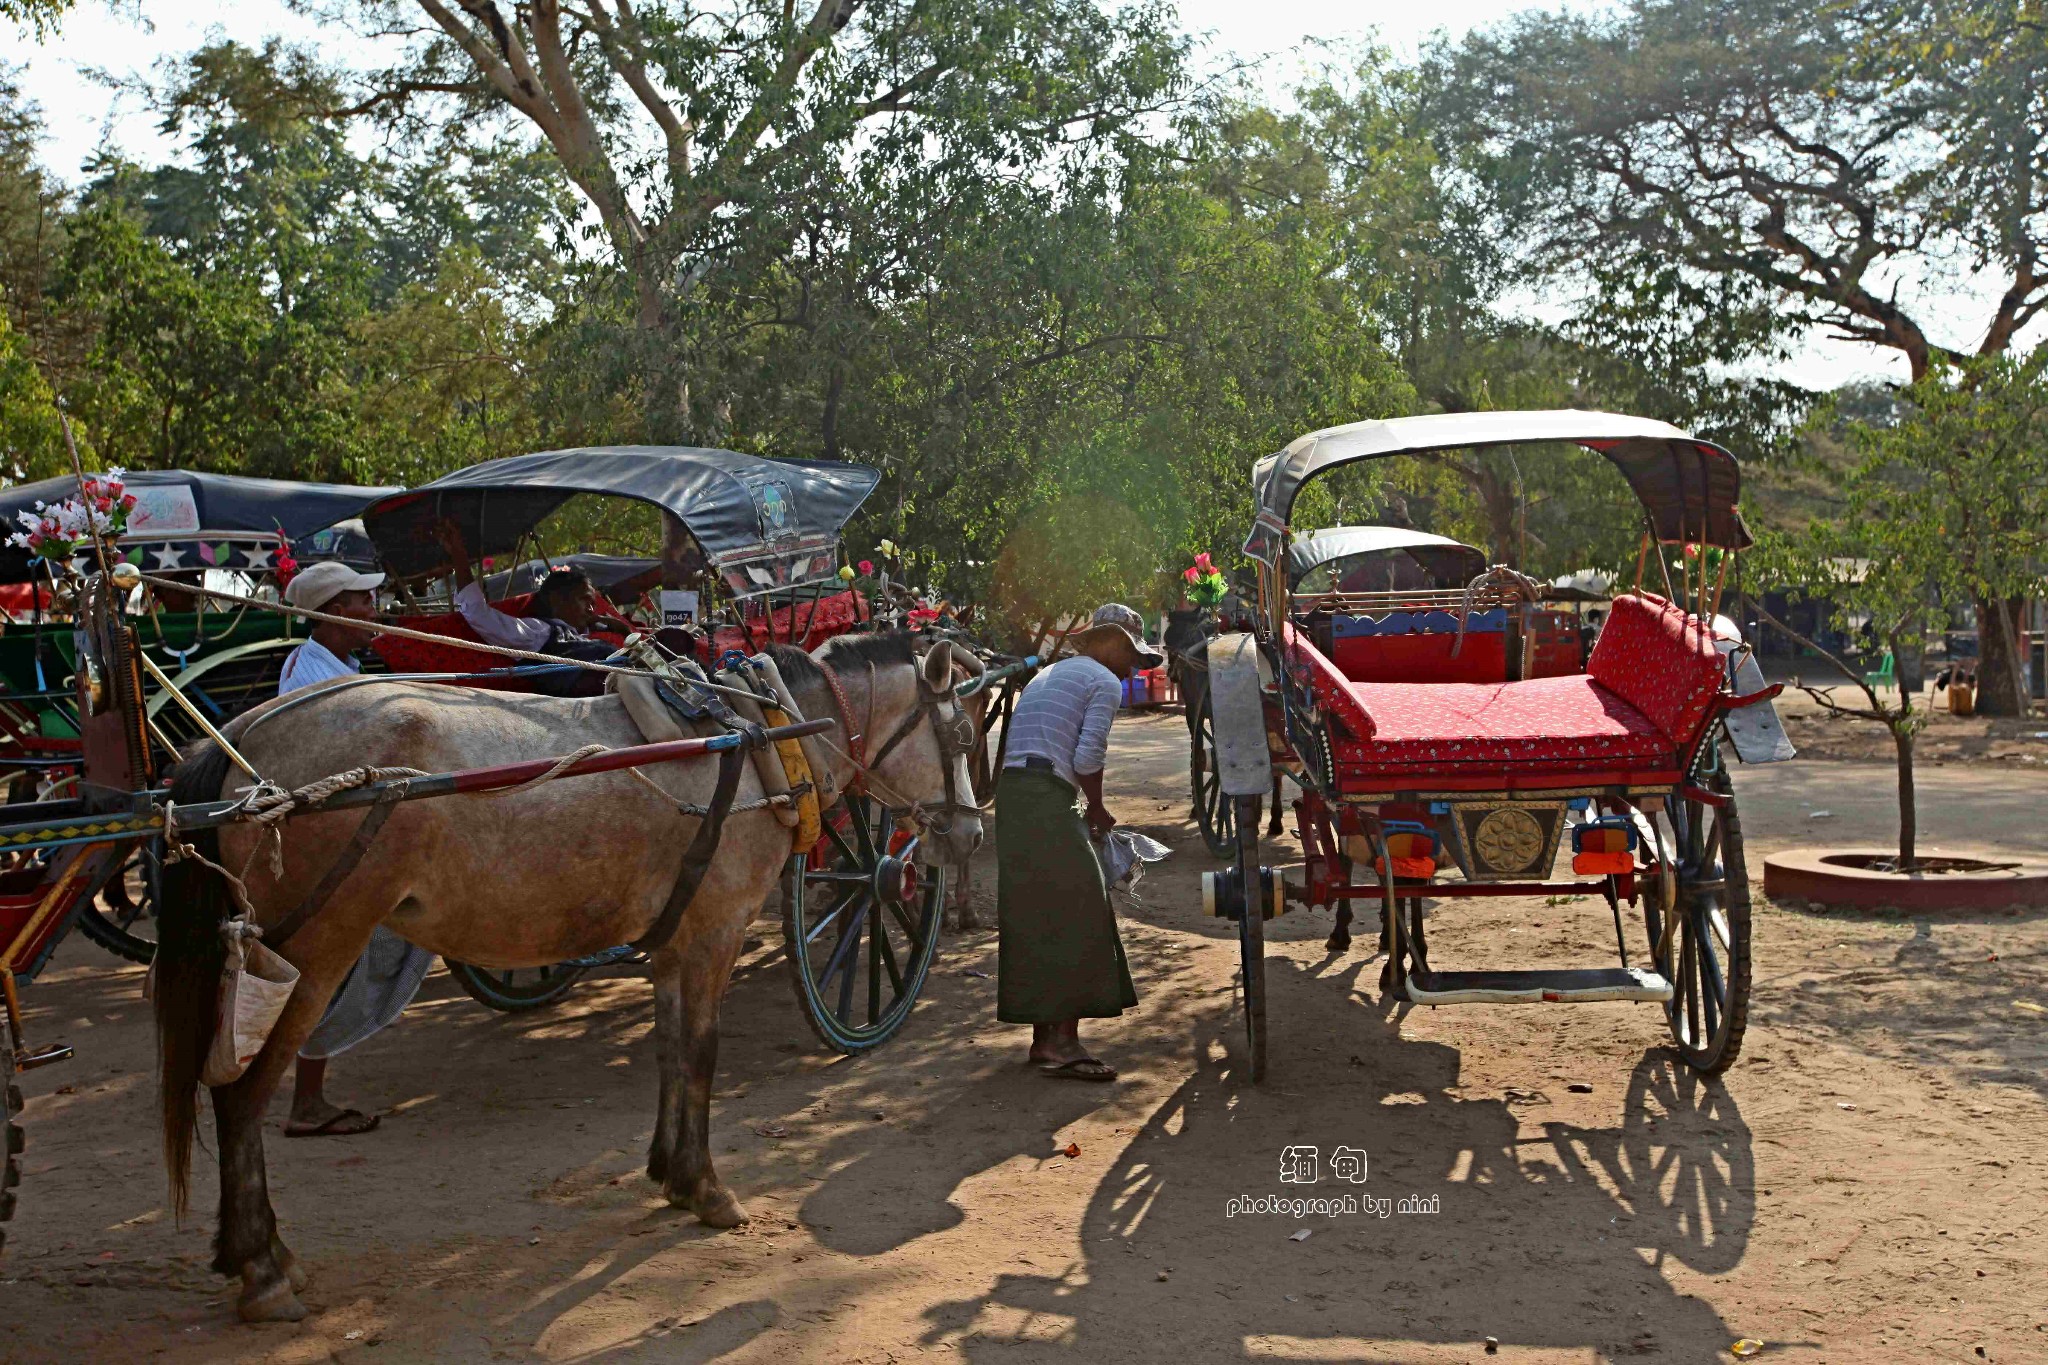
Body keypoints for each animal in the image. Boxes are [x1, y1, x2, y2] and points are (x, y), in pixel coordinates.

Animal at [151, 638, 983, 1326]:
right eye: (962, 737)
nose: (972, 832)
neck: (759, 742)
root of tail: (246, 739)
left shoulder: (675, 941)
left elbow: (671, 1050)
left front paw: (672, 1172)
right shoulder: (714, 933)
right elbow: (703, 1054)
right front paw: (709, 1189)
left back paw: (254, 1254)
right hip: (311, 951)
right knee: (240, 1096)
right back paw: (263, 1269)